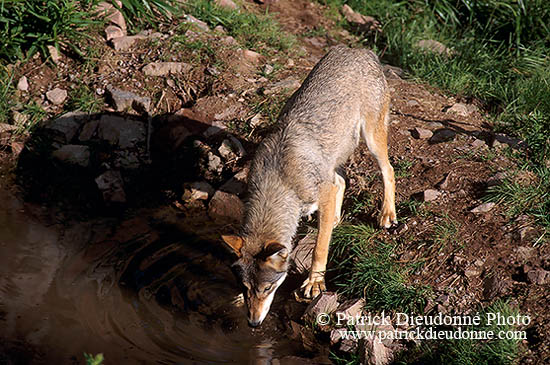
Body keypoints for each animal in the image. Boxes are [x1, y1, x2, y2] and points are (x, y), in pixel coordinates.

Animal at [221, 44, 396, 326]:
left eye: (267, 288)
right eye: (247, 289)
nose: (253, 323)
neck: (279, 181)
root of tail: (359, 49)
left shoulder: (322, 192)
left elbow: (320, 249)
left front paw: (314, 283)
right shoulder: (321, 189)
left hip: (371, 140)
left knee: (388, 171)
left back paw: (387, 214)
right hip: (333, 161)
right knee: (341, 181)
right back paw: (334, 219)